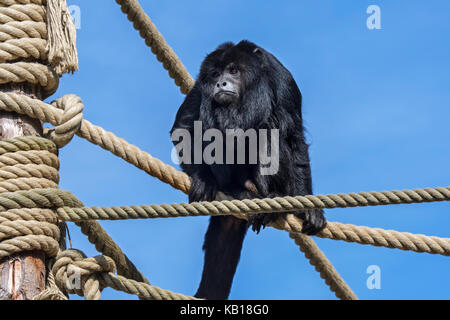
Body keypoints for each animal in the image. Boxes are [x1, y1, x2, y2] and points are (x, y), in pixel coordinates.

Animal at [171, 40, 326, 300]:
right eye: (215, 74)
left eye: (234, 71)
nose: (220, 83)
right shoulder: (200, 85)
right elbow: (184, 125)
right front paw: (203, 179)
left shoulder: (283, 79)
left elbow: (294, 137)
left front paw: (310, 209)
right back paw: (236, 191)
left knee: (272, 125)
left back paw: (272, 198)